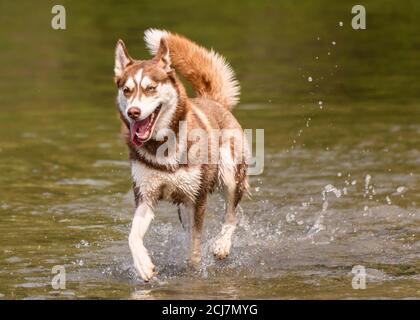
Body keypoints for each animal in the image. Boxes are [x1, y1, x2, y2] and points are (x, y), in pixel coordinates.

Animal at [113, 29, 248, 280]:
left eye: (150, 88)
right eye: (127, 90)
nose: (133, 112)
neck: (162, 147)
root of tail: (211, 100)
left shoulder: (198, 199)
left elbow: (194, 250)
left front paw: (193, 272)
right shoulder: (145, 197)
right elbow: (133, 236)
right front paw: (143, 265)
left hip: (229, 174)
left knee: (231, 214)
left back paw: (222, 245)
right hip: (184, 206)